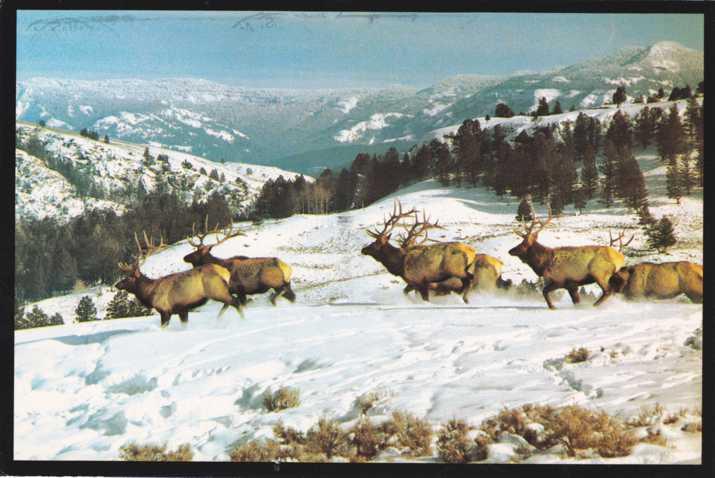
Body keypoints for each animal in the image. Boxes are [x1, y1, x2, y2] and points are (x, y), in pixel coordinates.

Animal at [114, 230, 243, 326]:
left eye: (129, 277)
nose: (117, 284)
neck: (149, 293)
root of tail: (225, 272)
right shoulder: (182, 309)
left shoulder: (165, 310)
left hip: (217, 290)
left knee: (236, 302)